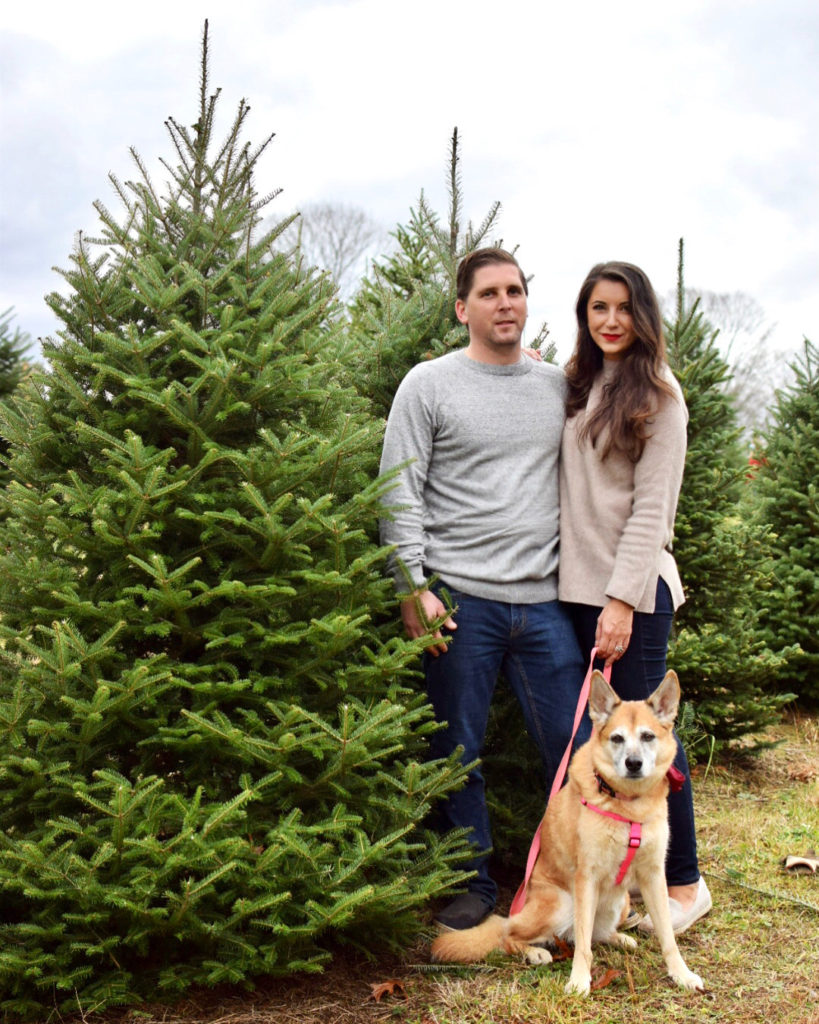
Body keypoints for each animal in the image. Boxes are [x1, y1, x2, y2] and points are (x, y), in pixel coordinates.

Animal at [427, 667, 704, 995]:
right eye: (617, 738)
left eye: (648, 736)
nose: (633, 763)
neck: (627, 807)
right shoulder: (587, 877)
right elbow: (583, 945)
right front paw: (579, 980)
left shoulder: (653, 875)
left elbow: (668, 938)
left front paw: (681, 974)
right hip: (562, 903)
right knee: (512, 935)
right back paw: (534, 952)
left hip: (620, 902)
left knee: (595, 934)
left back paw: (620, 938)